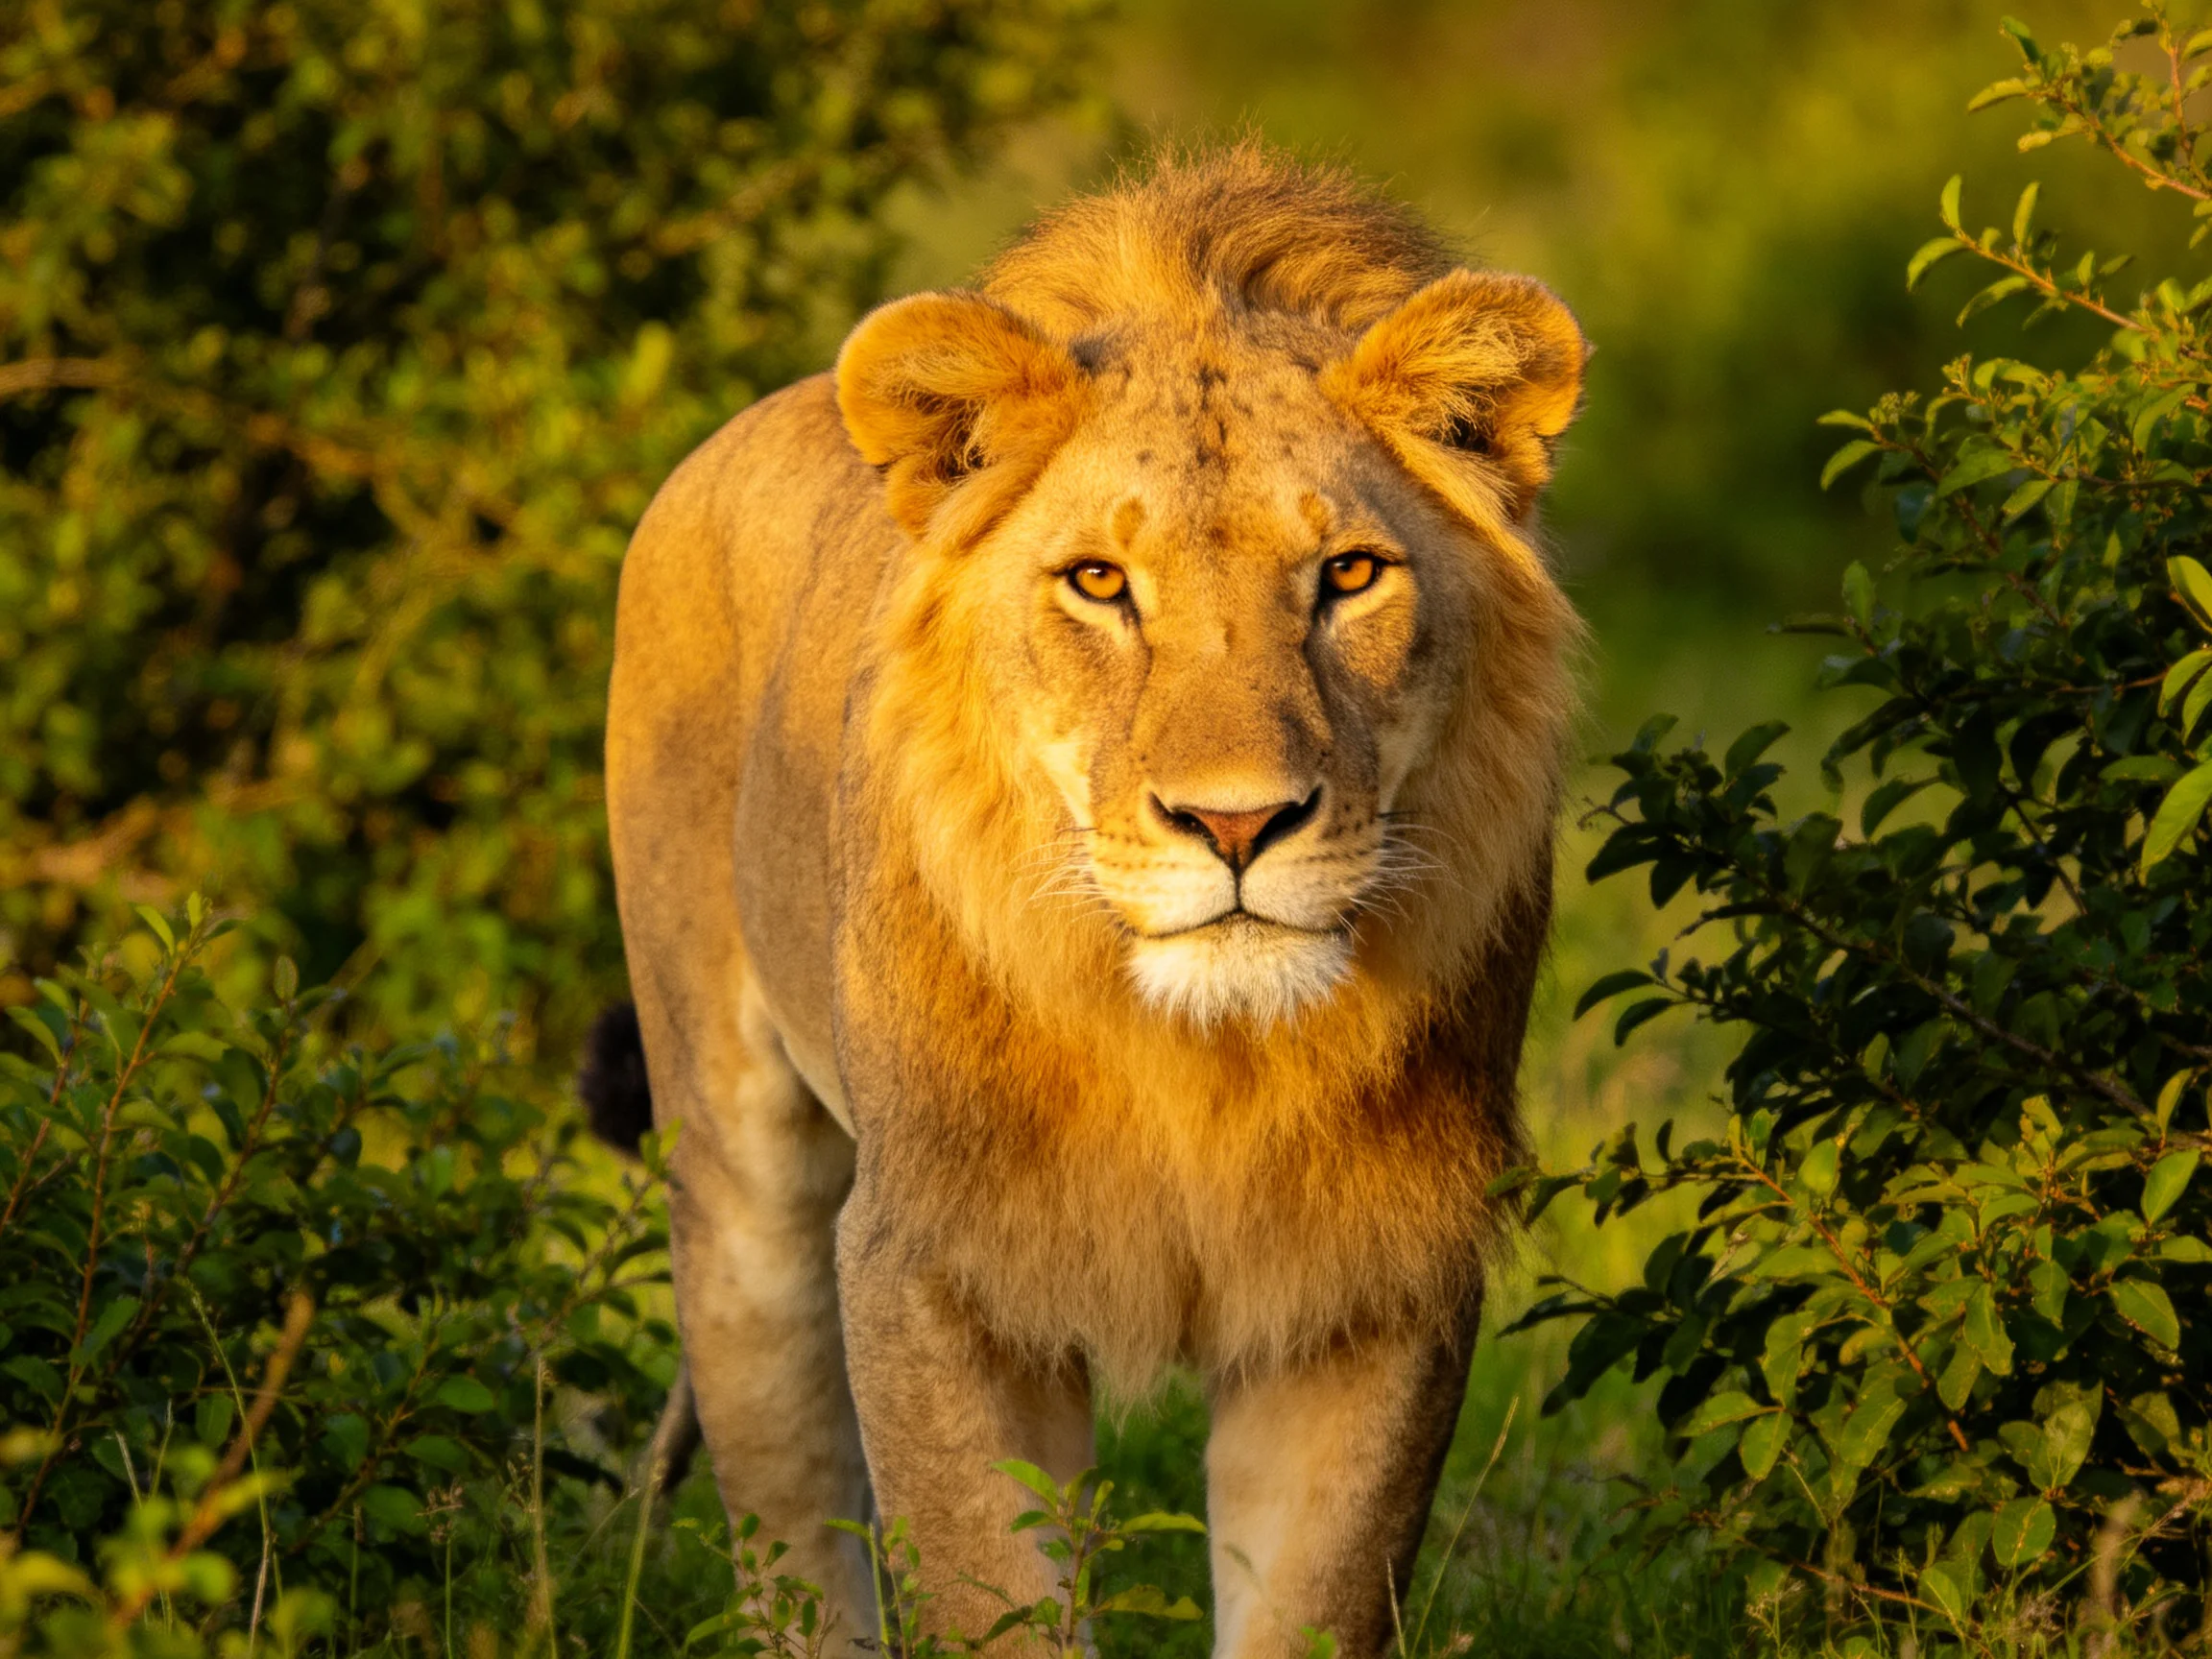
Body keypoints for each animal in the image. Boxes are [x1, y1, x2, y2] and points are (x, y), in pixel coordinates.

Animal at [593, 146, 1584, 1657]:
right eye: (1101, 583)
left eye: (1350, 574)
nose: (1236, 822)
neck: (1199, 1054)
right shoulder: (929, 1265)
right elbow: (988, 1598)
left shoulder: (1371, 1285)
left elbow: (1313, 1604)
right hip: (736, 1179)